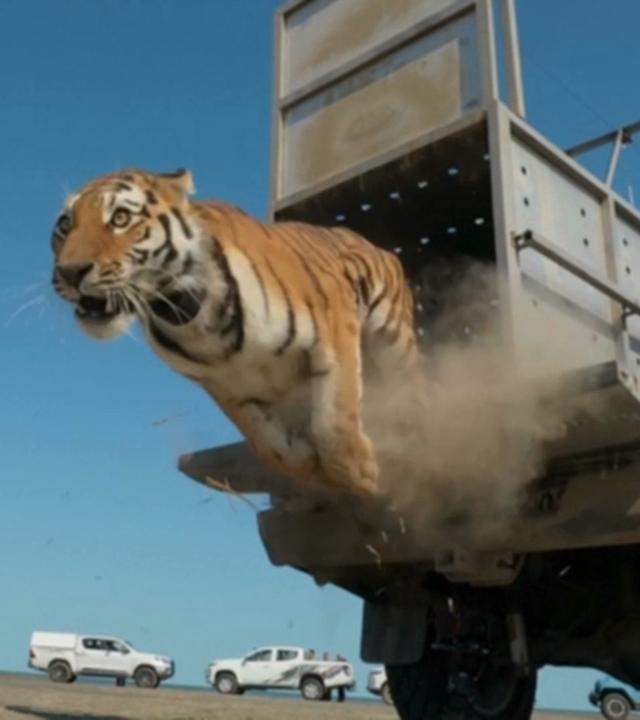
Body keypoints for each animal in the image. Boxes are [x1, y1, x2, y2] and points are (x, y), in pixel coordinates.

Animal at [51, 168, 425, 499]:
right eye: (65, 225)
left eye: (120, 218)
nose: (69, 272)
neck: (185, 314)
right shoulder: (224, 386)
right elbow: (268, 445)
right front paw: (308, 465)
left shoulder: (333, 325)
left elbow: (333, 417)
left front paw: (361, 474)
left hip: (393, 340)